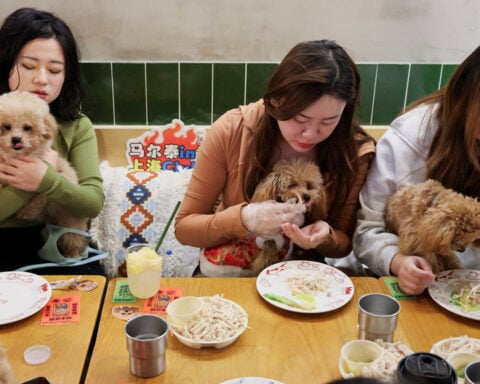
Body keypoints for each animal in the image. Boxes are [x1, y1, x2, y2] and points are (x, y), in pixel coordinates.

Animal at [0, 90, 88, 258]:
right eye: (6, 127)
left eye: (27, 127)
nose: (16, 139)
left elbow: (38, 196)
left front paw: (26, 212)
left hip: (71, 223)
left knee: (74, 239)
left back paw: (73, 254)